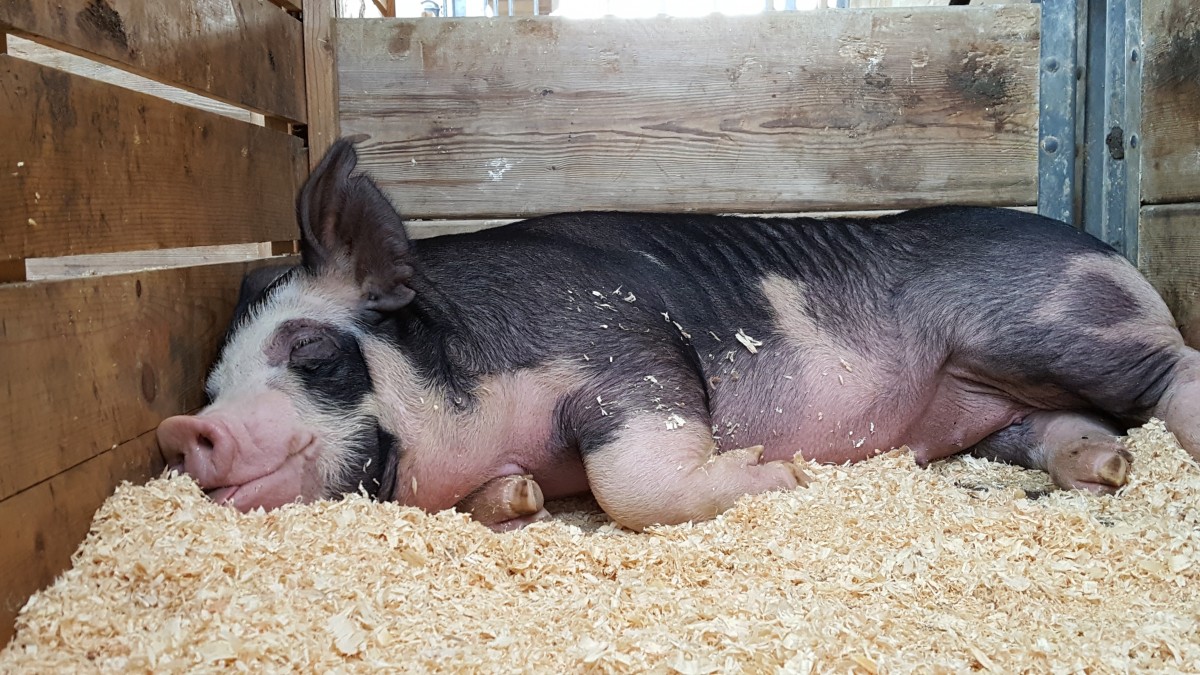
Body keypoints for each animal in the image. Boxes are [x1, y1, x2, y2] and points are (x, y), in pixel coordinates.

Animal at [154, 140, 1200, 530]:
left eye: (312, 353)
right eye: (210, 388)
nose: (186, 431)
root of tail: (1109, 251)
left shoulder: (628, 346)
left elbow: (631, 481)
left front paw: (776, 476)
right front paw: (519, 496)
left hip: (1042, 326)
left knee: (1173, 364)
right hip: (995, 402)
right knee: (1066, 429)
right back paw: (1105, 470)